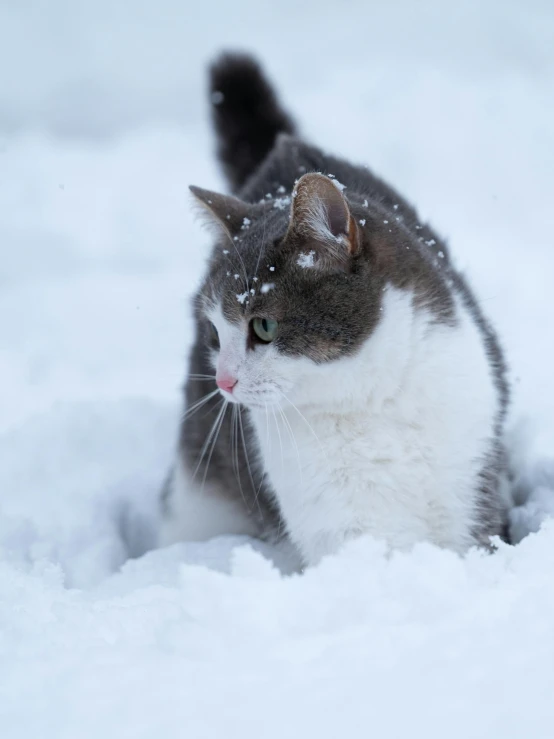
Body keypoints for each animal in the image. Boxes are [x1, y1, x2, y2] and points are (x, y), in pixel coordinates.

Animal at [157, 53, 506, 568]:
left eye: (263, 326)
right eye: (214, 333)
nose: (223, 382)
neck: (369, 405)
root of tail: (284, 154)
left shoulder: (471, 482)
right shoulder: (341, 523)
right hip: (197, 502)